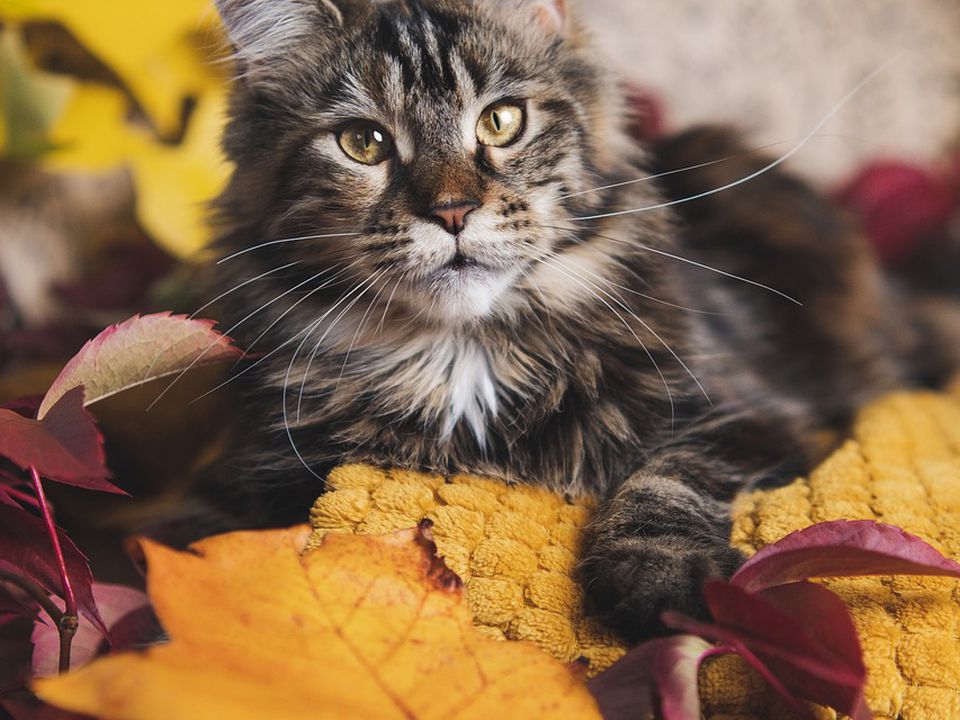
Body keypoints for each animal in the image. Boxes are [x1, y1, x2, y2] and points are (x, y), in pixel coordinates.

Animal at [188, 0, 960, 640]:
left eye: (501, 121)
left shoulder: (751, 411)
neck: (463, 354)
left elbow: (666, 475)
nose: (452, 212)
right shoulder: (261, 465)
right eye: (363, 143)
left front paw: (657, 580)